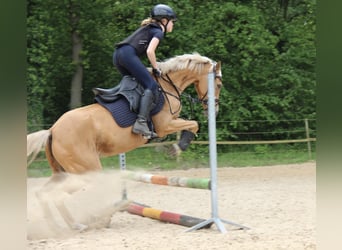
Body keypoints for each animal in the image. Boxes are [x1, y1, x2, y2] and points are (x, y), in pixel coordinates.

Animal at [28, 53, 223, 232]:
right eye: (219, 85)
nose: (214, 110)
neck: (168, 86)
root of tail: (53, 130)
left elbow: (192, 124)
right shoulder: (165, 125)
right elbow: (194, 124)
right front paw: (178, 147)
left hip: (62, 172)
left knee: (43, 193)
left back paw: (64, 226)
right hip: (85, 170)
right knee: (58, 196)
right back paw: (99, 218)